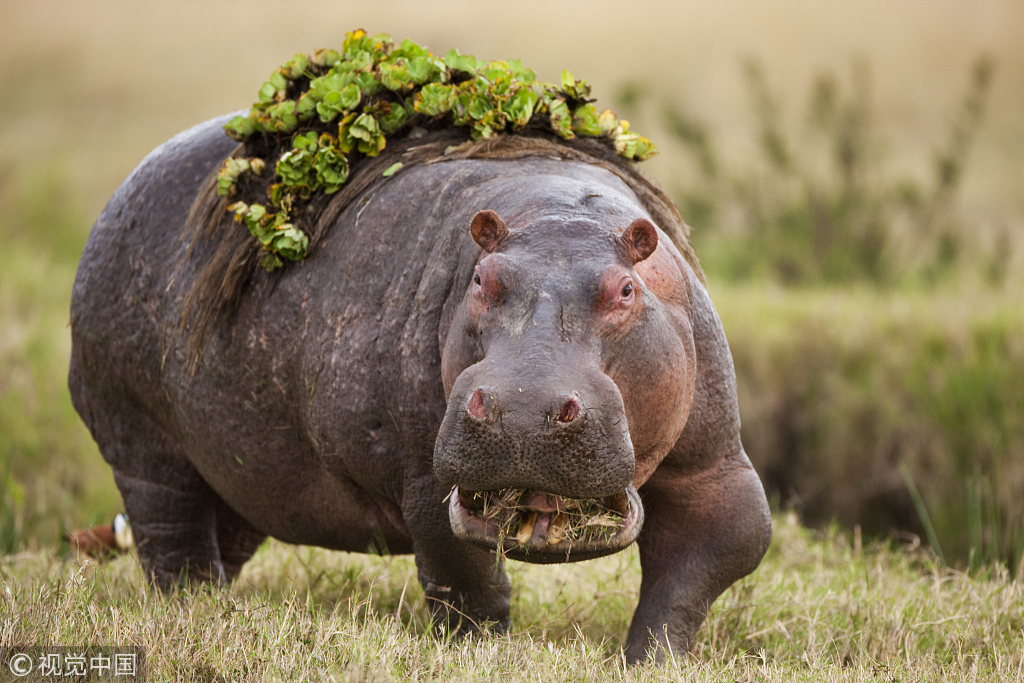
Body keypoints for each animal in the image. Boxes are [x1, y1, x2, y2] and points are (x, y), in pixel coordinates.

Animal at [68, 116, 770, 663]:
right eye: (482, 279)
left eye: (626, 289)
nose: (523, 408)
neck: (558, 217)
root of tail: (119, 193)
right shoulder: (428, 484)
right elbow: (467, 586)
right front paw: (485, 659)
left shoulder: (716, 472)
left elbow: (713, 556)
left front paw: (648, 663)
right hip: (143, 443)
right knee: (171, 541)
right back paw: (193, 612)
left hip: (241, 471)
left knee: (220, 535)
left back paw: (221, 614)